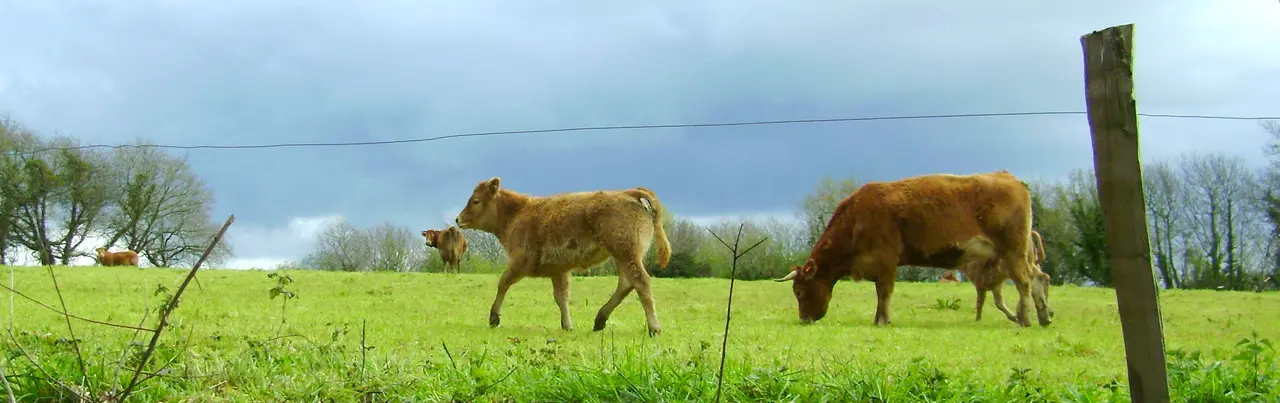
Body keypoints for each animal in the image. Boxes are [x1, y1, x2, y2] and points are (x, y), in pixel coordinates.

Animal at [454, 177, 672, 337]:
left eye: (475, 201)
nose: (457, 219)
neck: (517, 213)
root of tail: (629, 193)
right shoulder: (558, 270)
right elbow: (561, 297)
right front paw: (567, 325)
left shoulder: (520, 262)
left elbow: (503, 283)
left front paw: (494, 317)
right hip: (622, 257)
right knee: (627, 284)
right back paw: (600, 320)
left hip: (626, 255)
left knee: (641, 282)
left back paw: (654, 327)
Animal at [774, 170, 1053, 328]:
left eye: (799, 291)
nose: (803, 320)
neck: (857, 220)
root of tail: (1007, 176)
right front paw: (878, 319)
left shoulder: (887, 260)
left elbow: (884, 292)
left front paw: (883, 320)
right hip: (1018, 254)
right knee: (1038, 278)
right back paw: (1043, 316)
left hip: (1013, 251)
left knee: (1024, 282)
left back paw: (1025, 319)